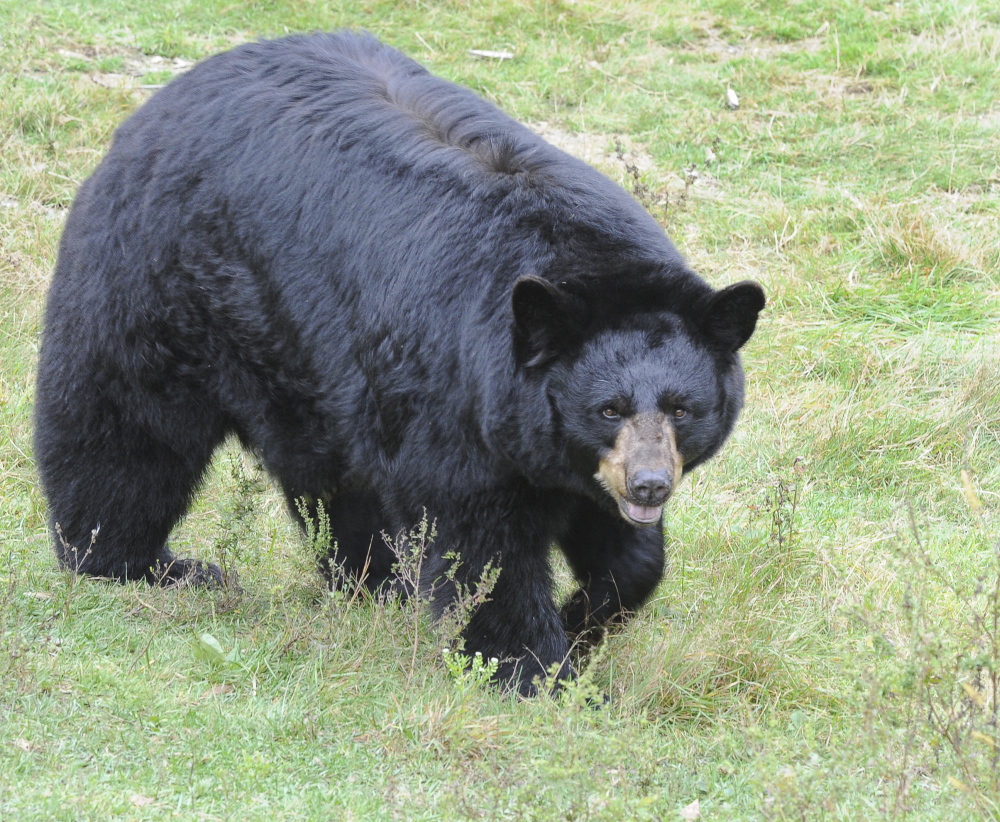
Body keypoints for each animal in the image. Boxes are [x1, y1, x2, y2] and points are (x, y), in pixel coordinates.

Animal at [35, 33, 760, 696]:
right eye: (607, 408)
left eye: (682, 408)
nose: (650, 485)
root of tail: (172, 92)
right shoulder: (452, 397)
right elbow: (478, 545)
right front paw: (534, 669)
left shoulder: (566, 455)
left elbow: (624, 555)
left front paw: (586, 618)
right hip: (163, 284)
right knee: (127, 432)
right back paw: (133, 560)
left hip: (309, 368)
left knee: (335, 481)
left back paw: (374, 580)